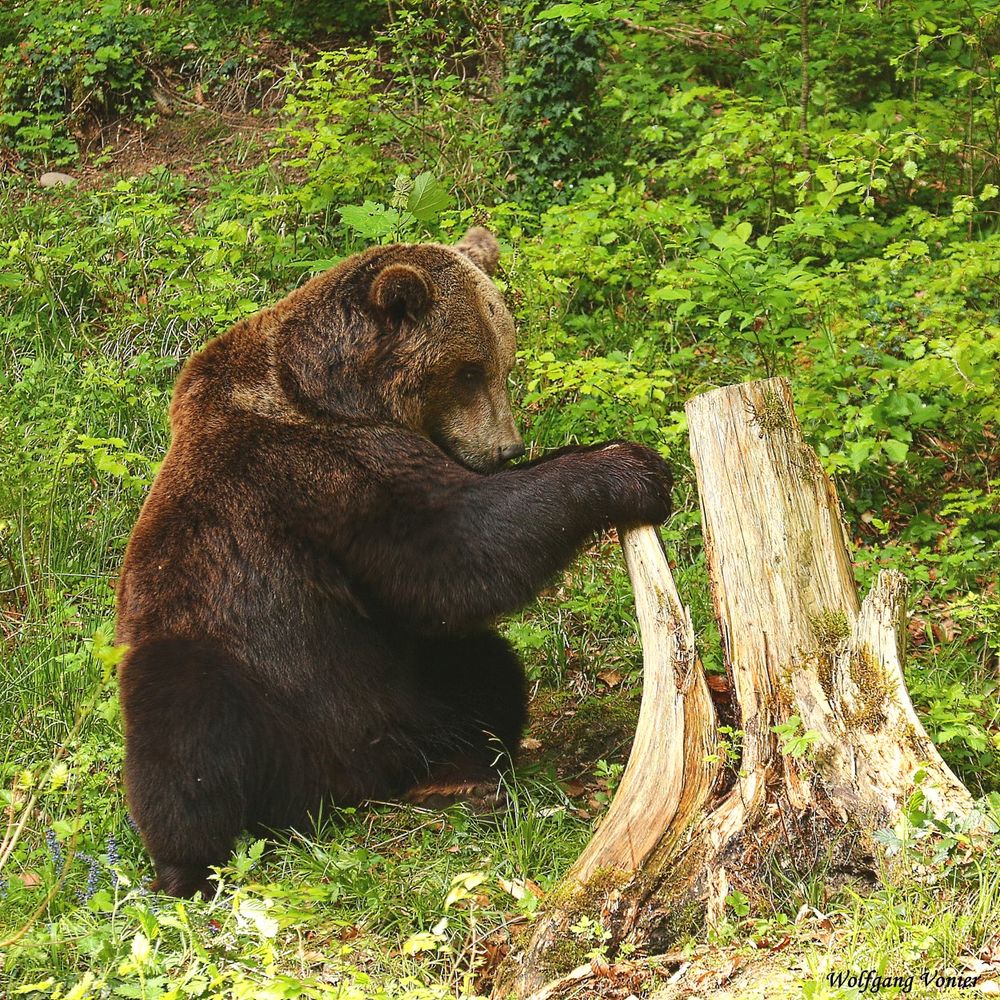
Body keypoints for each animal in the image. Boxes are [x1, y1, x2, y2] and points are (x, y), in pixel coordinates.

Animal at [117, 229, 672, 900]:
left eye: (504, 362)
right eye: (467, 370)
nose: (506, 448)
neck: (336, 390)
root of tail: (338, 791)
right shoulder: (325, 469)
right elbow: (457, 545)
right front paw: (632, 468)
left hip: (401, 692)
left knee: (482, 671)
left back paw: (461, 777)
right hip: (240, 673)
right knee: (182, 733)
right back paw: (190, 868)